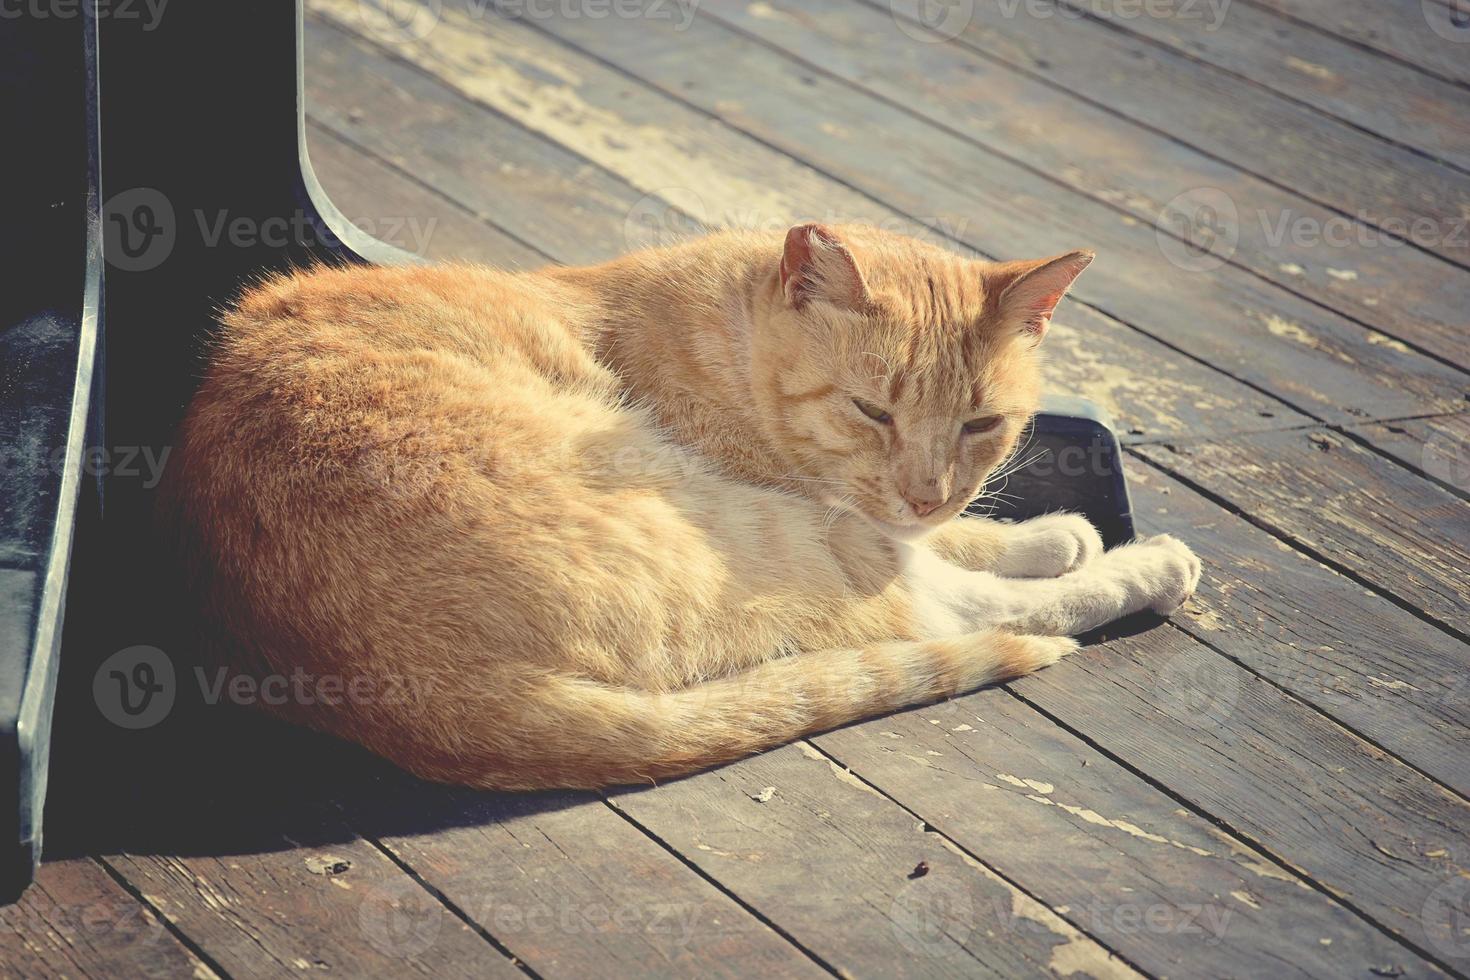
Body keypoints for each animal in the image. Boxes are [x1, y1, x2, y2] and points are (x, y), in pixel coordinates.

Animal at [158, 224, 1193, 787]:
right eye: (872, 411)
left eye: (982, 423)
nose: (927, 487)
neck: (726, 339)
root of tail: (406, 698)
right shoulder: (838, 524)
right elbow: (946, 565)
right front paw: (1079, 547)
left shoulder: (879, 519)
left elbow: (955, 539)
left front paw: (1042, 531)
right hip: (754, 533)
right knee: (961, 615)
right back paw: (1147, 569)